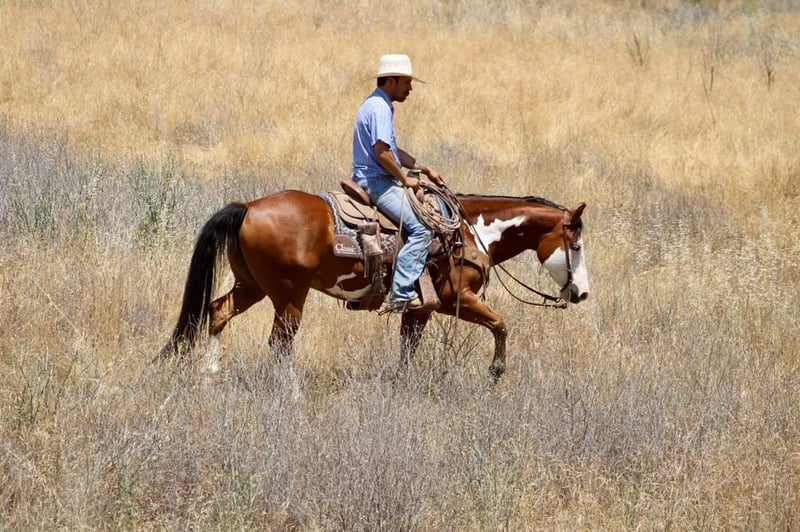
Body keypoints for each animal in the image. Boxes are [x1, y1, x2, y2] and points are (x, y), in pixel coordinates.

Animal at [159, 189, 590, 381]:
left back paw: (209, 376)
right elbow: (500, 324)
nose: (582, 293)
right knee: (280, 343)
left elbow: (407, 349)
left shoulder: (420, 308)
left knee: (218, 311)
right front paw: (496, 370)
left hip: (252, 286)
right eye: (577, 244)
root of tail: (248, 208)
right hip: (288, 294)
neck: (470, 233)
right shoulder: (456, 298)